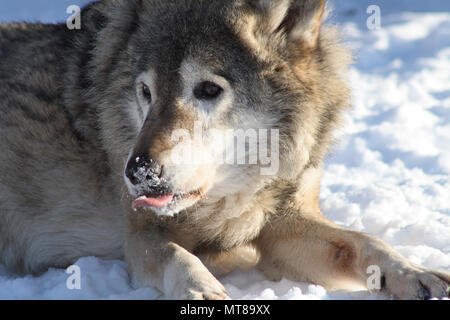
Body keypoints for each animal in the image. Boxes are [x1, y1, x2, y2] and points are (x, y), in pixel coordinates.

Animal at [0, 0, 448, 300]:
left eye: (208, 90)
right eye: (145, 92)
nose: (137, 171)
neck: (234, 190)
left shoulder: (285, 226)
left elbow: (364, 241)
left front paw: (415, 273)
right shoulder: (143, 233)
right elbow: (180, 256)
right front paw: (205, 292)